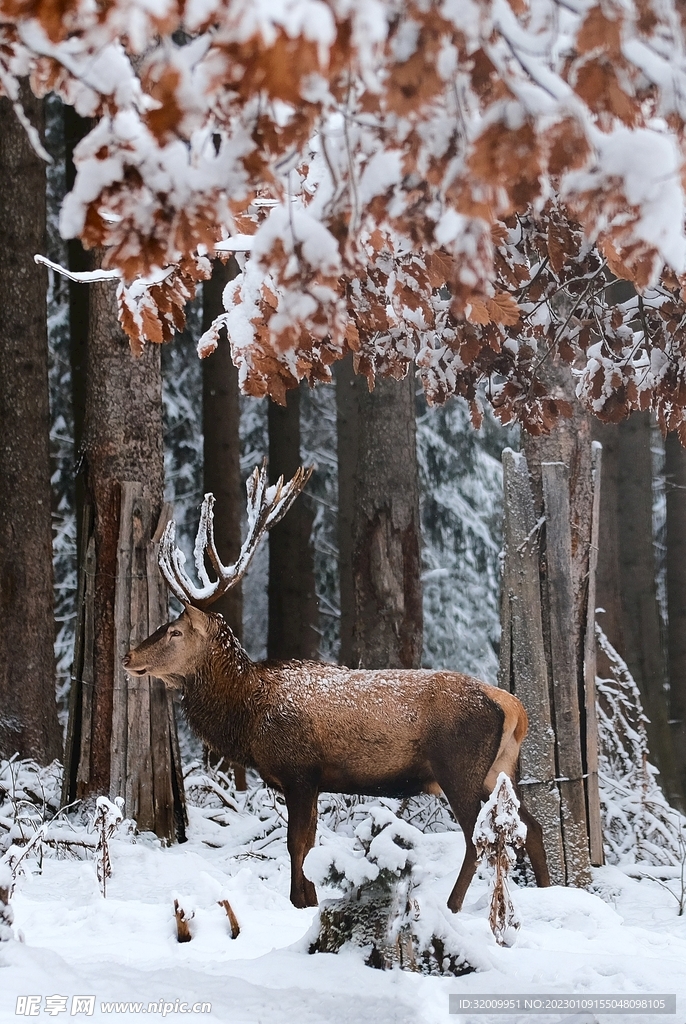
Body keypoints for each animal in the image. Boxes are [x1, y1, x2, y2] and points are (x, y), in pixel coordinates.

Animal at [123, 462, 550, 911]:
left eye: (175, 631)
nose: (128, 656)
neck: (248, 716)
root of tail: (513, 707)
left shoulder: (299, 769)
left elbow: (296, 845)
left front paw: (299, 902)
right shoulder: (312, 779)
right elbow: (309, 843)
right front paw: (311, 898)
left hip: (459, 767)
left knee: (477, 838)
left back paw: (452, 905)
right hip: (498, 769)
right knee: (531, 827)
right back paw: (550, 892)